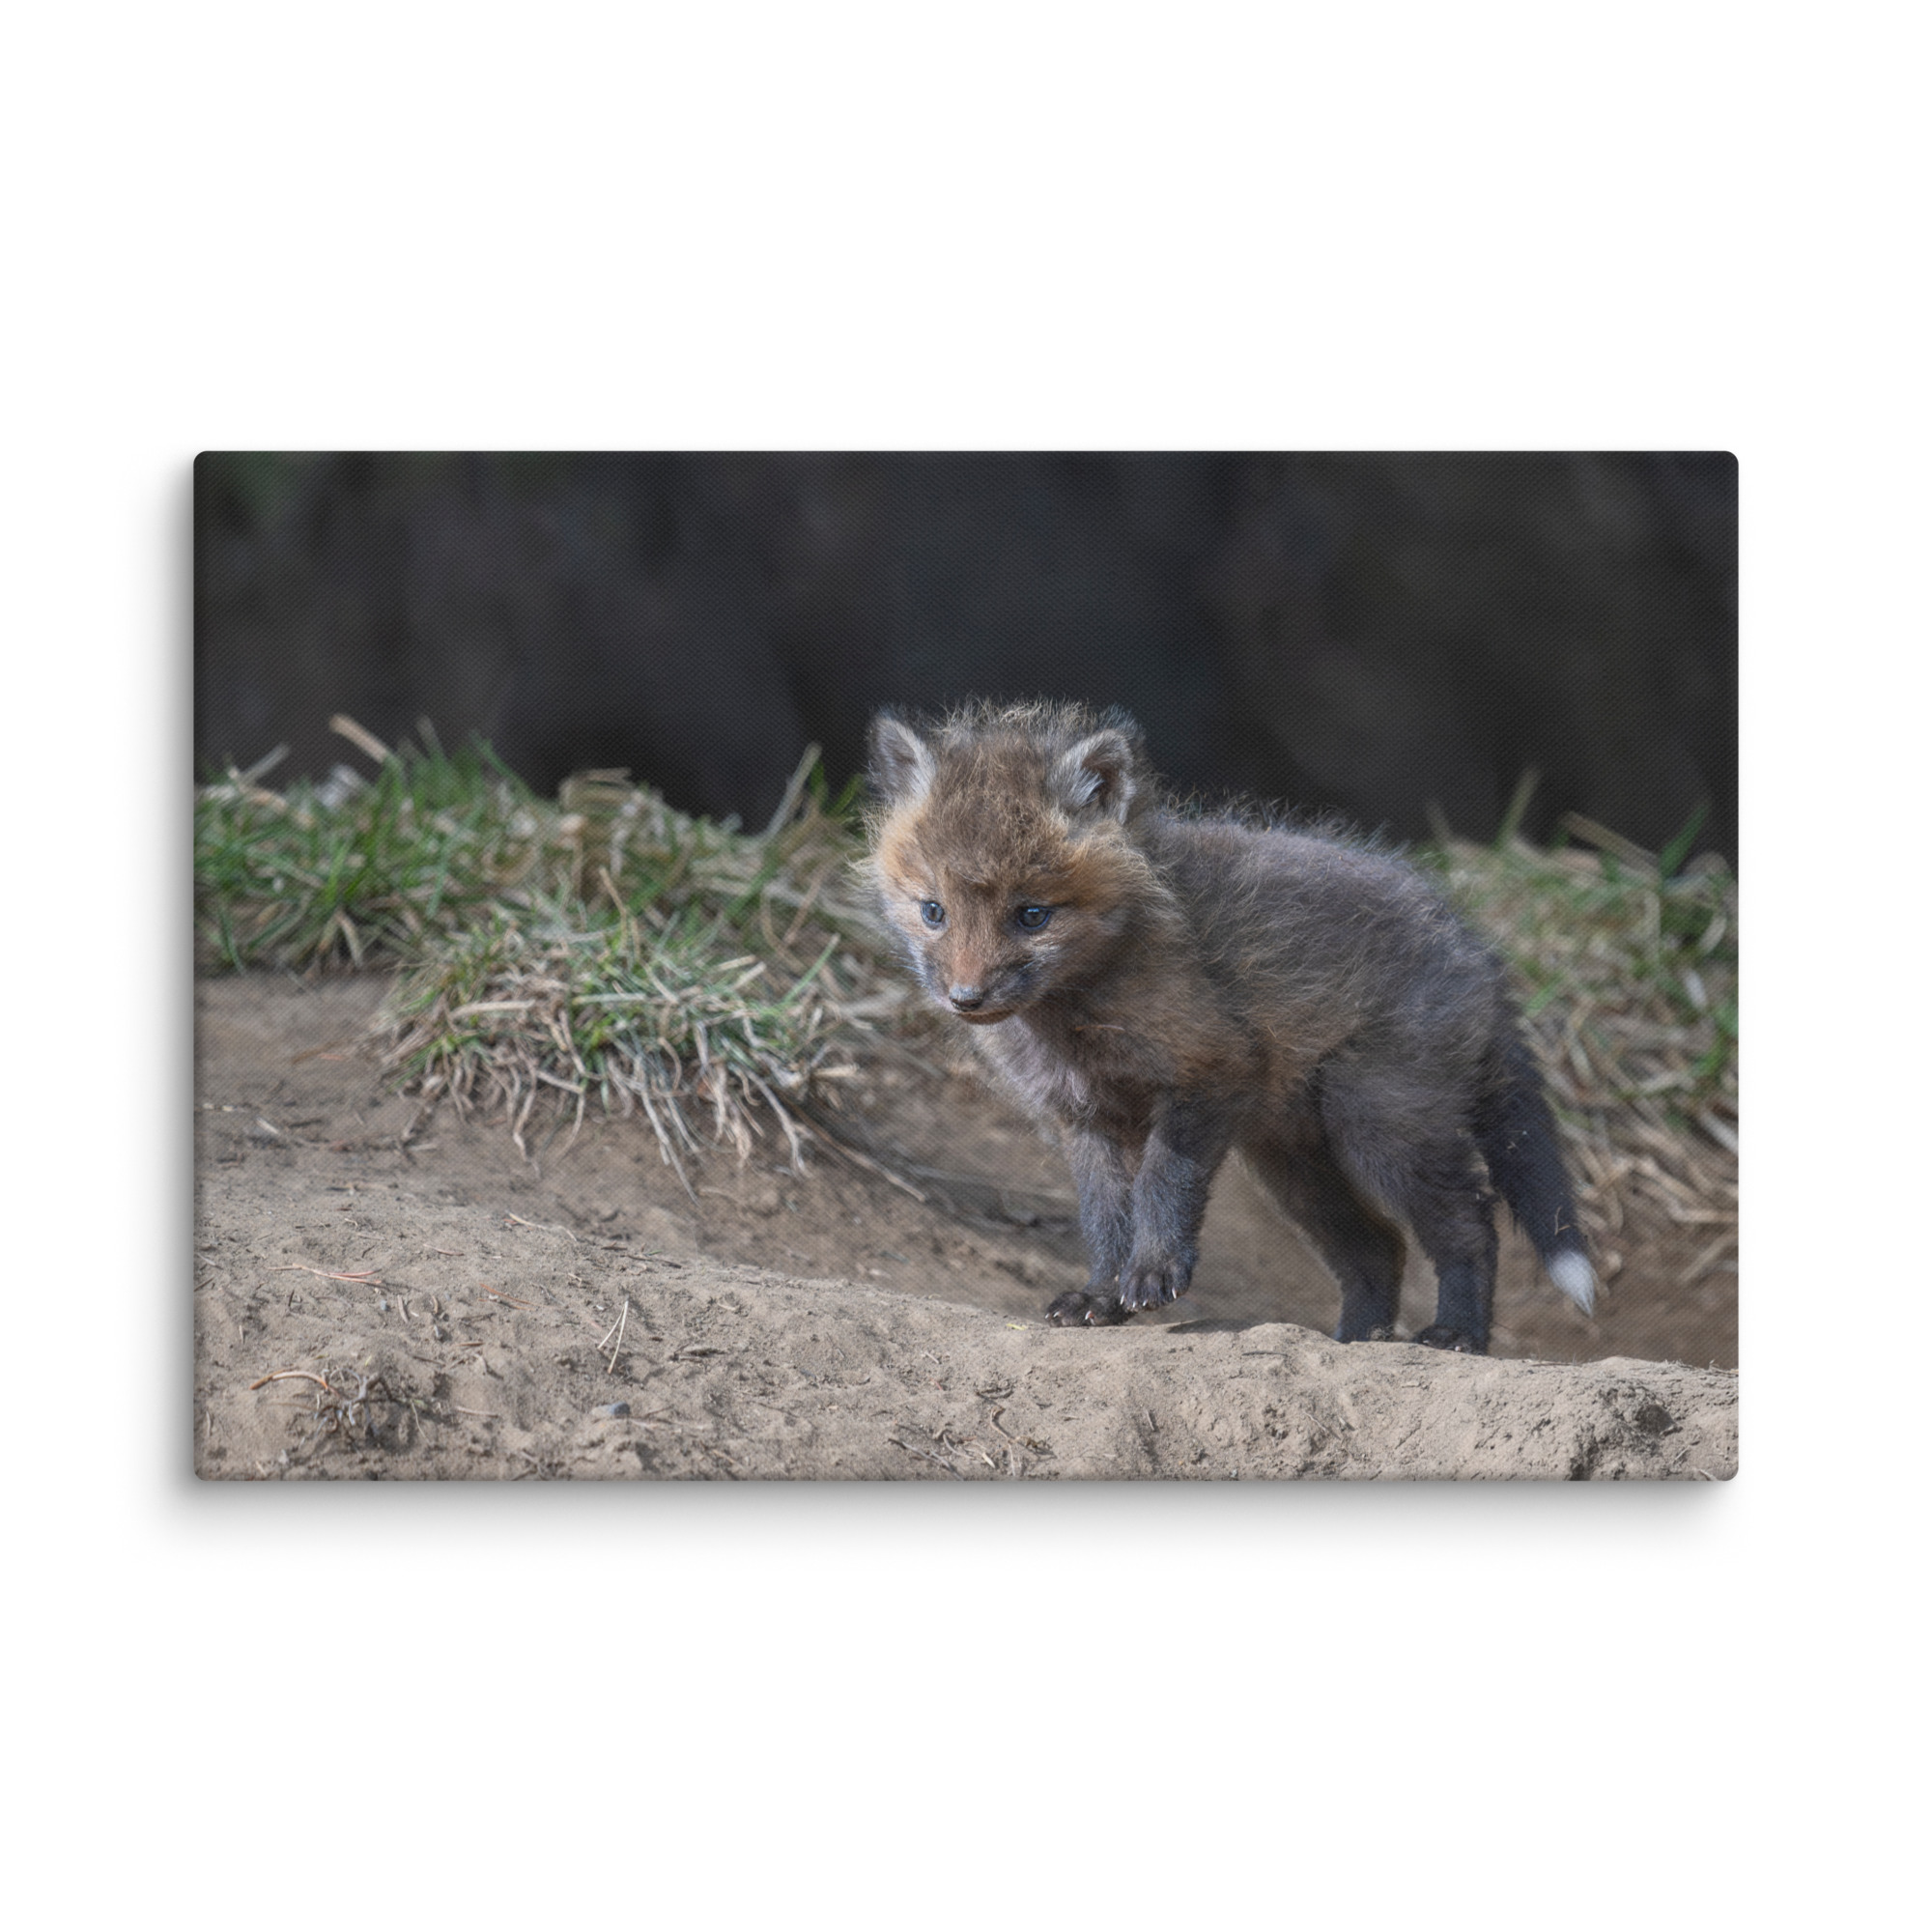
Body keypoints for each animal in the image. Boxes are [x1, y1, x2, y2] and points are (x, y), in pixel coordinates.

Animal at [863, 699, 1596, 1353]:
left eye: (1032, 915)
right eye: (933, 911)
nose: (966, 998)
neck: (1076, 1019)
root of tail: (1475, 948)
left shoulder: (1210, 1070)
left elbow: (1163, 1184)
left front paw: (1154, 1273)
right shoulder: (1085, 1117)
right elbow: (1104, 1219)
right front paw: (1101, 1296)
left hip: (1380, 1127)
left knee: (1470, 1224)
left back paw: (1457, 1334)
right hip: (1295, 1163)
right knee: (1378, 1247)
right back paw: (1356, 1341)